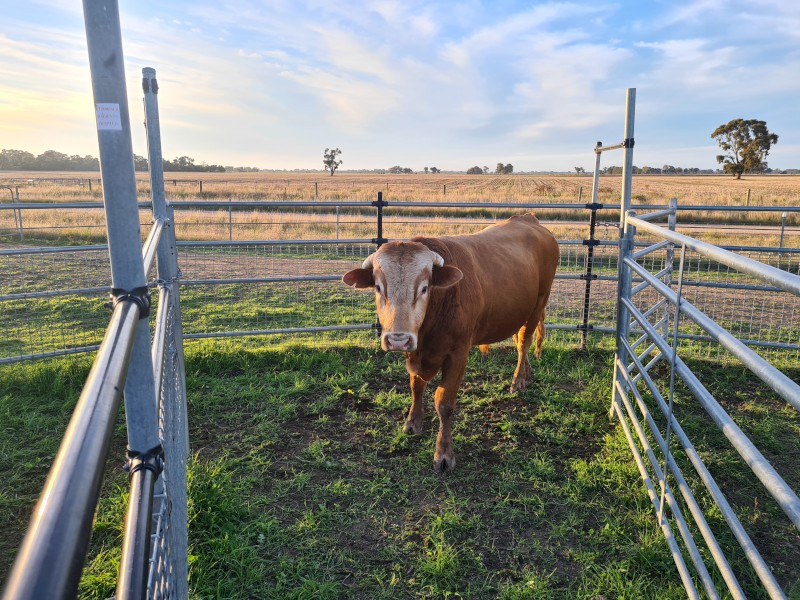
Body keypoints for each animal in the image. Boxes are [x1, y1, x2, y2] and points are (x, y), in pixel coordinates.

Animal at [342, 213, 559, 473]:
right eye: (378, 287)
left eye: (425, 288)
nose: (398, 339)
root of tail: (528, 219)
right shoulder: (414, 353)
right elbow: (416, 387)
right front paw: (413, 422)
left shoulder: (458, 354)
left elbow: (444, 402)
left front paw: (444, 453)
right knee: (520, 341)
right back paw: (526, 375)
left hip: (539, 302)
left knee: (524, 342)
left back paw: (518, 380)